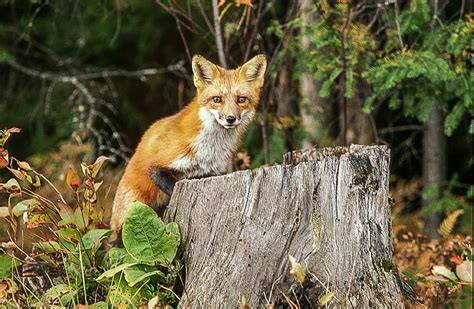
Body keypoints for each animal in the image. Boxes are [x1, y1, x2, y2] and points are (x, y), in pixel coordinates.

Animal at [110, 54, 266, 239]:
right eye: (217, 99)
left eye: (241, 100)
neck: (210, 148)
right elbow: (171, 188)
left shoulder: (209, 173)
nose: (230, 118)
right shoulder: (157, 166)